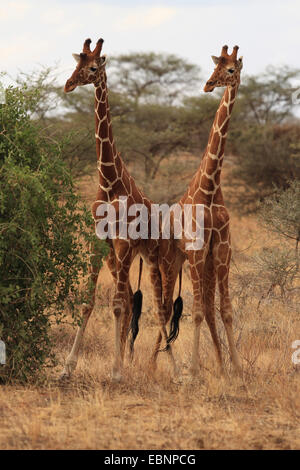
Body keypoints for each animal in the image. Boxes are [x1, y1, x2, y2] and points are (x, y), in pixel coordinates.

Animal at [60, 37, 178, 382]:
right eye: (76, 62)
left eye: (93, 68)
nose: (68, 84)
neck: (110, 181)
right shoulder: (99, 241)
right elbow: (89, 302)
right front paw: (68, 367)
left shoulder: (124, 243)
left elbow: (114, 304)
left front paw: (114, 371)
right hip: (118, 258)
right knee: (128, 300)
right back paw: (128, 359)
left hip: (152, 258)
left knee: (160, 306)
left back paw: (172, 368)